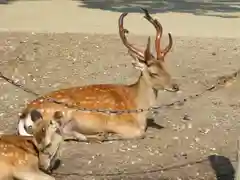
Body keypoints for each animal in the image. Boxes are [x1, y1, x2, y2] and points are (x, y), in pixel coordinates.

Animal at [16, 8, 178, 142]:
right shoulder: (116, 121)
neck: (137, 108)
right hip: (61, 113)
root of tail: (24, 114)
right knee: (61, 133)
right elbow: (139, 133)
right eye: (153, 73)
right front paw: (112, 134)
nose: (175, 86)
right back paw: (100, 135)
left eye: (166, 68)